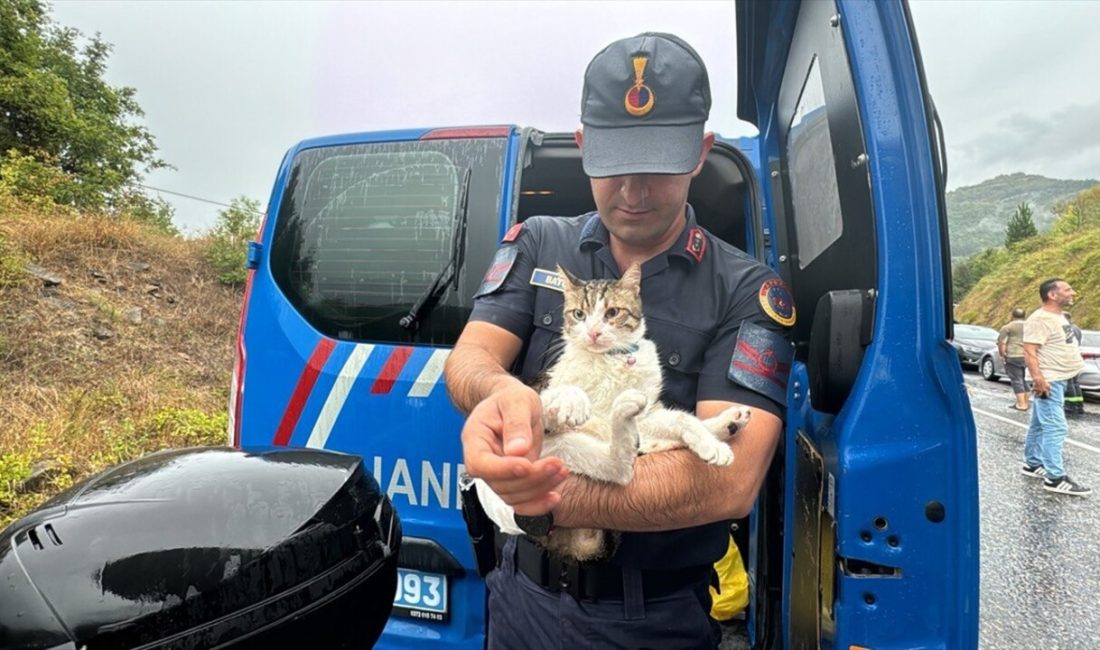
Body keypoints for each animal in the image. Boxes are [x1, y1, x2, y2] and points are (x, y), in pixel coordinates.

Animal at [477, 261, 752, 563]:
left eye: (612, 313)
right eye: (579, 314)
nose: (593, 332)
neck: (611, 360)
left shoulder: (648, 415)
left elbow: (681, 418)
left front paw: (708, 442)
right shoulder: (541, 390)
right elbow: (549, 395)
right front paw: (573, 399)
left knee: (633, 455)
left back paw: (726, 424)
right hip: (557, 449)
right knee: (619, 468)